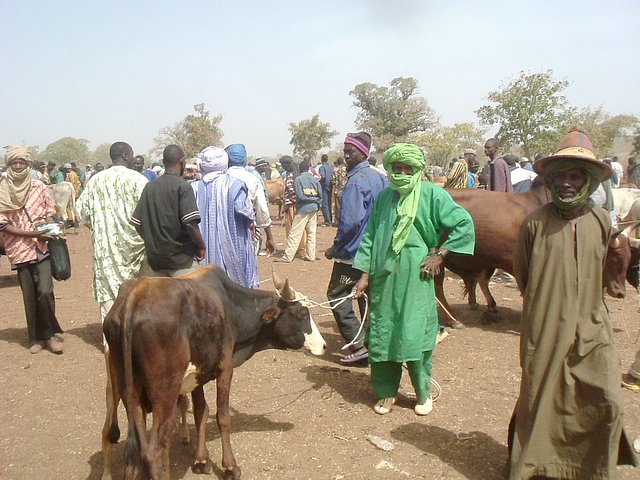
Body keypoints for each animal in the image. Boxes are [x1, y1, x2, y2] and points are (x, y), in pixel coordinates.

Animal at [105, 266, 328, 480]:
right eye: (302, 314)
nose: (324, 346)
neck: (231, 306)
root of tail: (135, 296)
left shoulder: (198, 374)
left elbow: (201, 412)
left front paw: (201, 460)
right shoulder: (225, 369)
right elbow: (223, 417)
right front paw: (230, 467)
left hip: (130, 393)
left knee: (138, 452)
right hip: (165, 393)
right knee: (155, 453)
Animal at [438, 178, 632, 328]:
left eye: (629, 257)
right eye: (616, 258)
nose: (620, 293)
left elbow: (482, 280)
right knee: (439, 290)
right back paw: (453, 319)